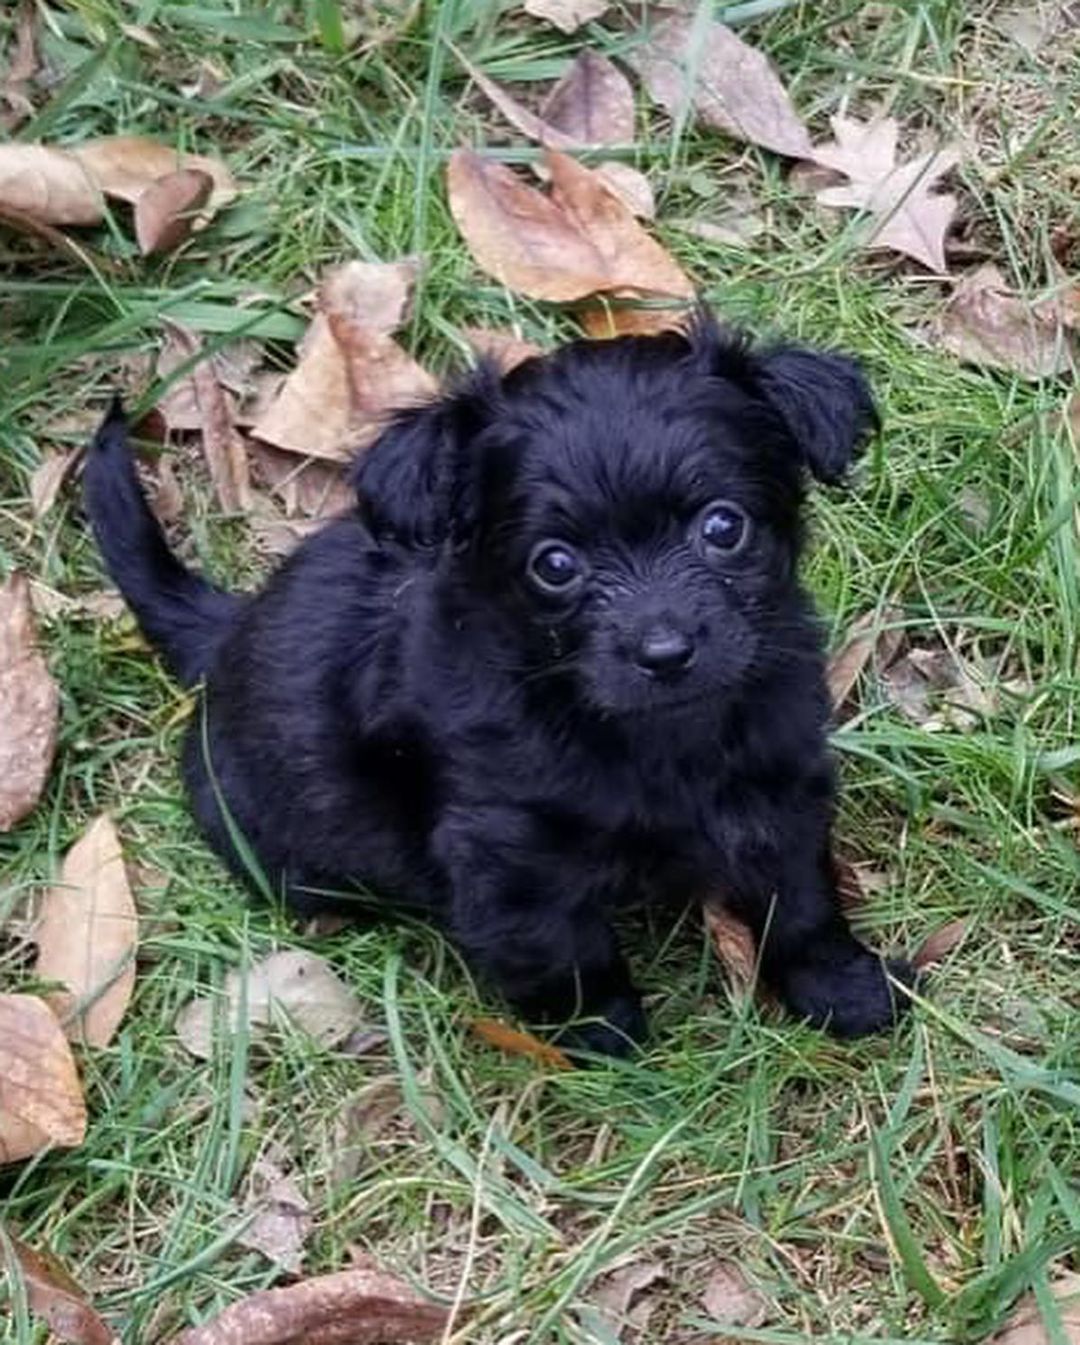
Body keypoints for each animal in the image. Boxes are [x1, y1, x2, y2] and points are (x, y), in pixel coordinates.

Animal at [82, 320, 914, 1054]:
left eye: (722, 526)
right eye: (554, 564)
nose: (665, 650)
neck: (656, 736)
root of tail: (227, 629)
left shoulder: (779, 791)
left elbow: (801, 905)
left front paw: (844, 989)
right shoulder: (508, 856)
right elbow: (567, 953)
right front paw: (605, 1042)